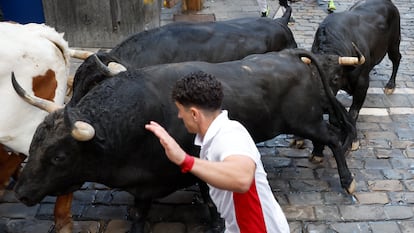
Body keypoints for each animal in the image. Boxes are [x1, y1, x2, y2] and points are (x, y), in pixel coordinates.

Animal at [12, 49, 356, 231]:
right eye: (33, 145)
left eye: (59, 157)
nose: (21, 192)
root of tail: (287, 54)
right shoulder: (143, 185)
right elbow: (139, 213)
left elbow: (210, 199)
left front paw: (216, 222)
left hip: (305, 120)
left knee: (334, 137)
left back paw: (347, 181)